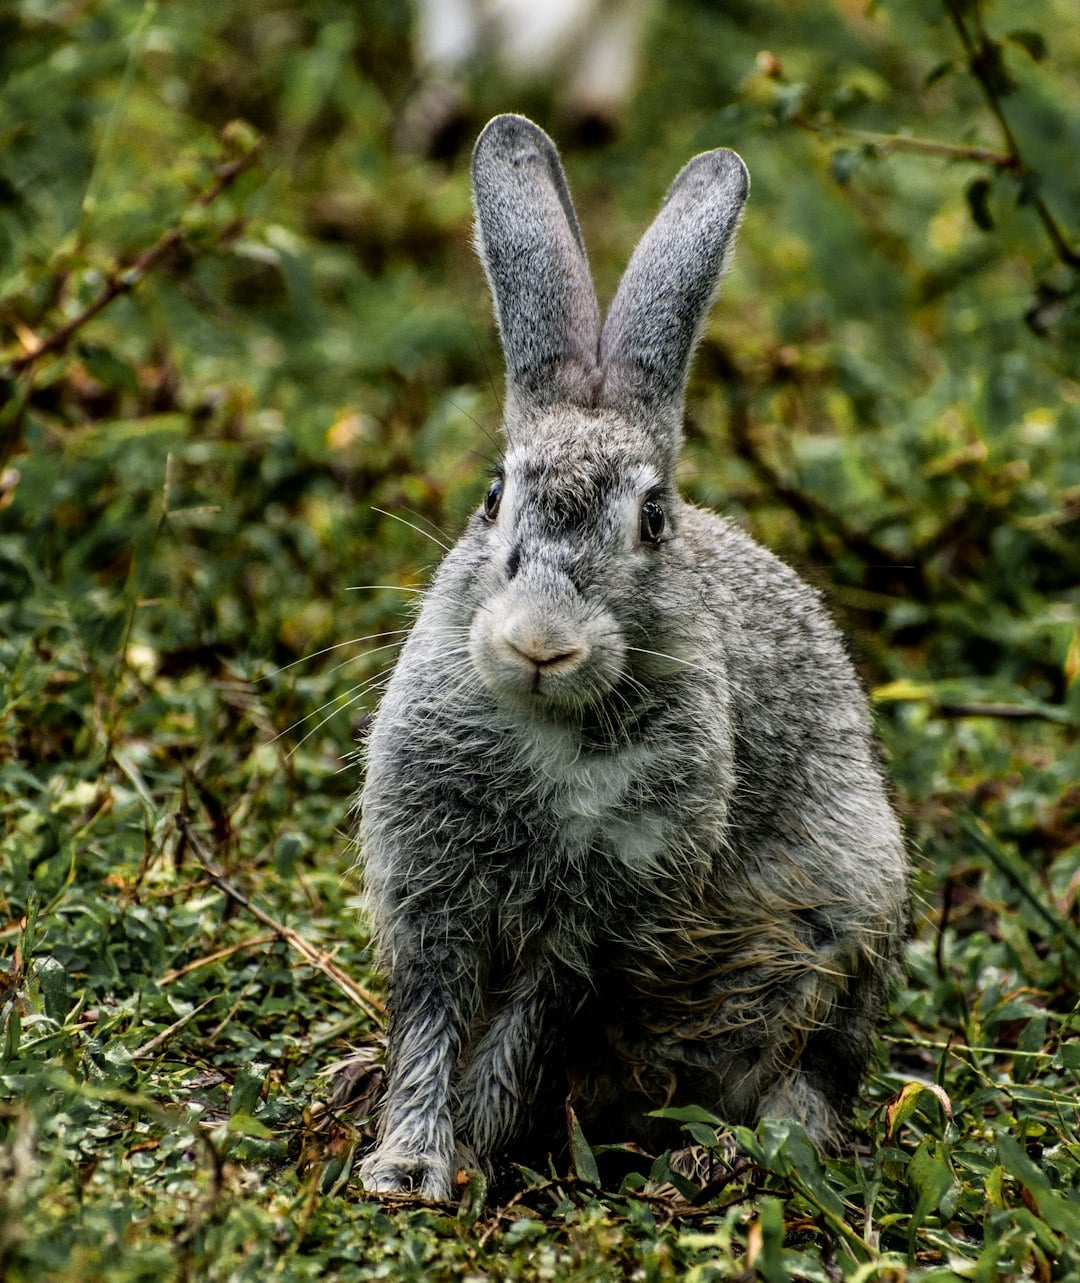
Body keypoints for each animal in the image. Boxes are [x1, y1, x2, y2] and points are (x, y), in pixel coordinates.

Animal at [356, 113, 908, 1202]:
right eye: (494, 499)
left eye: (653, 520)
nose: (538, 642)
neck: (547, 725)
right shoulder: (433, 892)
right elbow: (431, 1024)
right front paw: (408, 1164)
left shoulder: (598, 924)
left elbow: (520, 1032)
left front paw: (471, 1151)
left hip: (839, 926)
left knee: (808, 1081)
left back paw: (713, 1156)